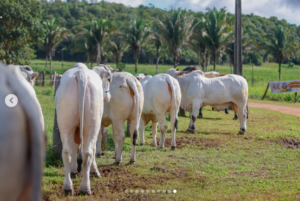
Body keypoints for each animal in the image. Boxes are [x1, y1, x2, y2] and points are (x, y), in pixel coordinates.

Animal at [55, 62, 111, 195]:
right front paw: (95, 171)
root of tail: (81, 74)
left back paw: (68, 187)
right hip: (92, 126)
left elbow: (74, 149)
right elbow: (93, 149)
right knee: (88, 153)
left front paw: (74, 170)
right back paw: (85, 188)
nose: (109, 96)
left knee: (67, 152)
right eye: (109, 79)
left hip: (65, 125)